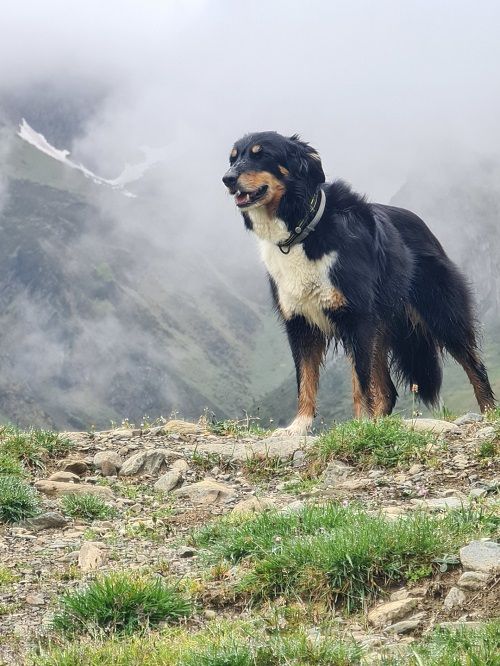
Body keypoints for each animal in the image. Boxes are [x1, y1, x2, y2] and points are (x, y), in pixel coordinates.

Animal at [223, 132, 496, 434]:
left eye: (261, 155)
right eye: (233, 158)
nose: (227, 179)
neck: (302, 230)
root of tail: (425, 227)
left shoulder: (356, 319)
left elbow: (360, 384)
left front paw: (361, 424)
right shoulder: (300, 322)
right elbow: (305, 381)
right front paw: (299, 427)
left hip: (441, 315)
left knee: (475, 365)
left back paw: (488, 413)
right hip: (383, 328)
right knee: (387, 391)